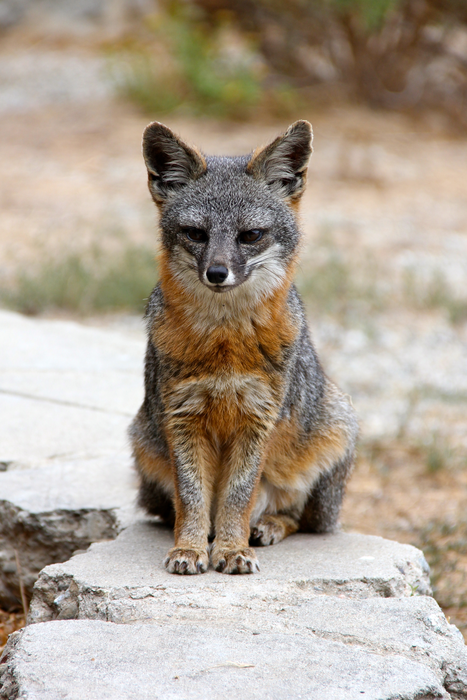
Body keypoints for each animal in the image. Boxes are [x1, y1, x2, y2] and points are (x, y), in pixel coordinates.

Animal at [130, 120, 360, 576]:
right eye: (196, 234)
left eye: (250, 235)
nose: (217, 273)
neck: (224, 345)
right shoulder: (181, 418)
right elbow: (192, 497)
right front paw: (190, 548)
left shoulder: (257, 420)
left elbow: (238, 495)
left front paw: (233, 548)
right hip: (144, 445)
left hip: (333, 435)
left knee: (299, 517)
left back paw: (266, 526)